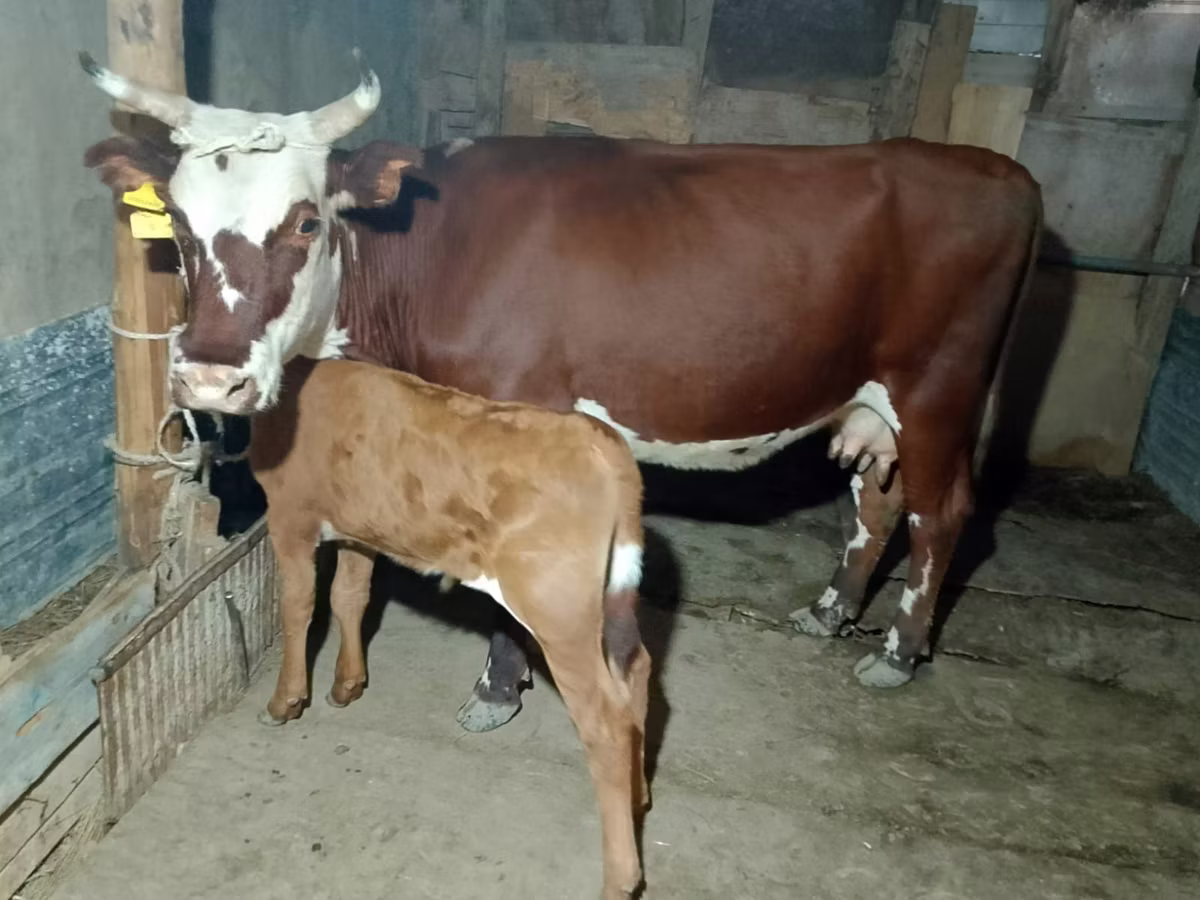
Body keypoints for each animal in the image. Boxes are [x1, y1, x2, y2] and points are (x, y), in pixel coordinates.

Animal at [80, 53, 1043, 729]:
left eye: (308, 222)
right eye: (179, 224)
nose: (210, 376)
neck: (424, 257)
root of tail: (999, 171)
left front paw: (495, 690)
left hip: (939, 387)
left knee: (942, 513)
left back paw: (897, 651)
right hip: (873, 398)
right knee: (878, 502)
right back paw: (831, 610)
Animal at [249, 355, 650, 898]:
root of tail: (598, 440)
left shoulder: (290, 514)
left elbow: (298, 606)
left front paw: (284, 702)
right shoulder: (359, 529)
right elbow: (349, 597)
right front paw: (347, 684)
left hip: (557, 608)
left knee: (605, 722)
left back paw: (620, 877)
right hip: (612, 598)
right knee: (638, 672)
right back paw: (638, 796)